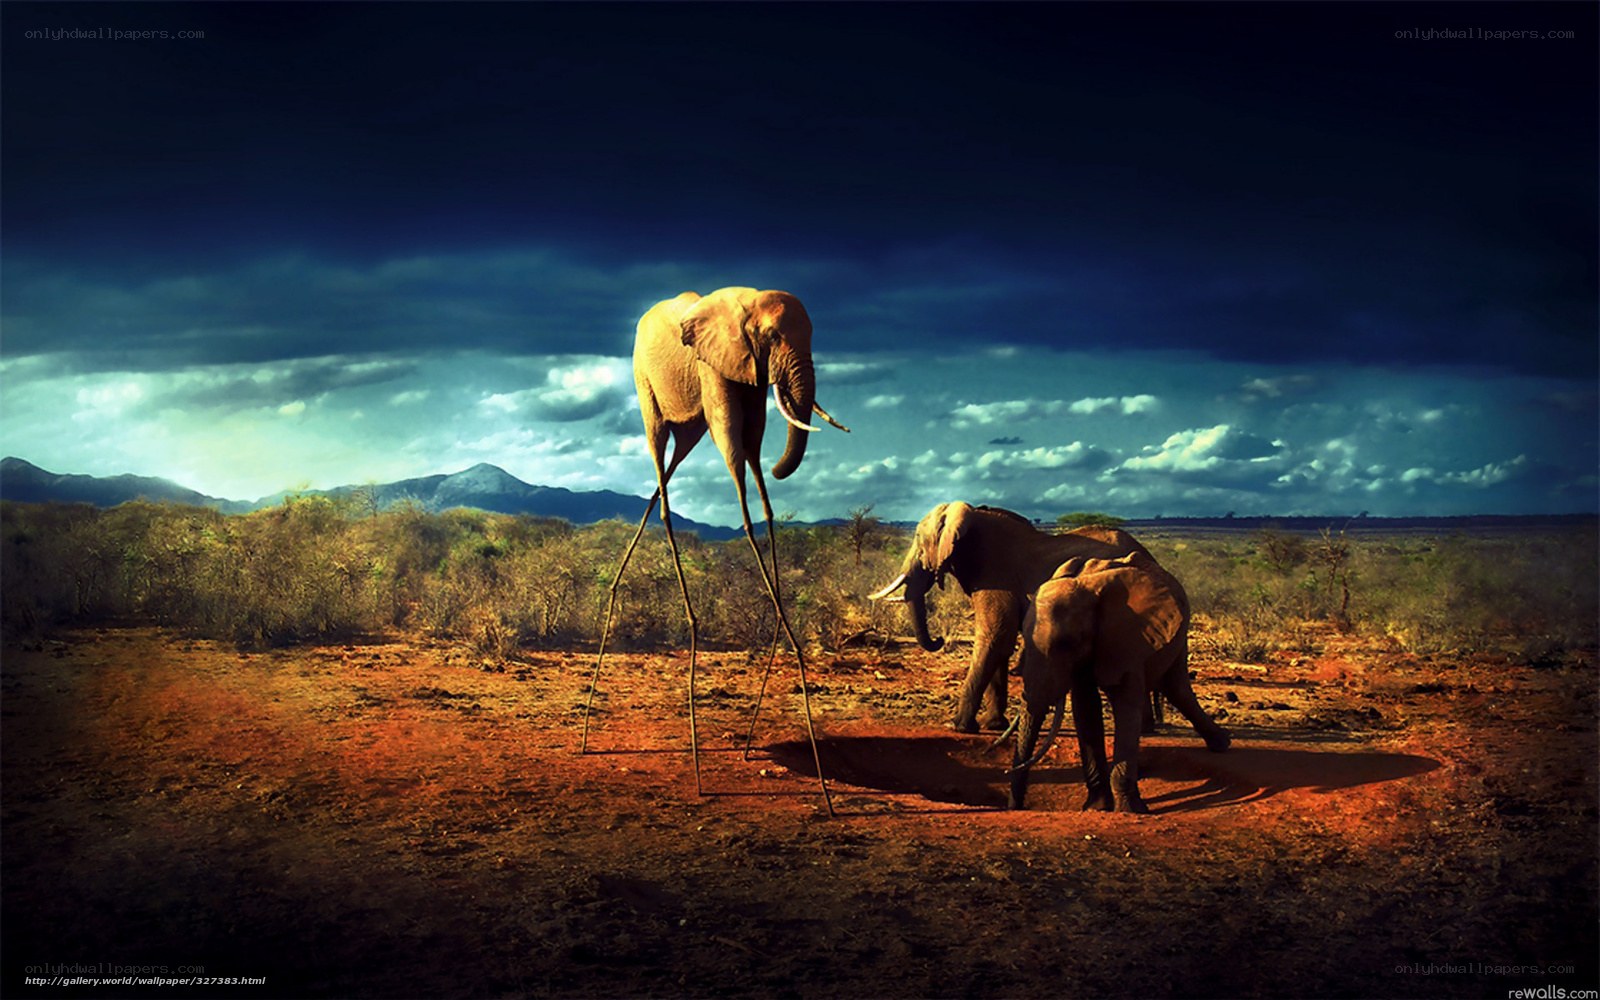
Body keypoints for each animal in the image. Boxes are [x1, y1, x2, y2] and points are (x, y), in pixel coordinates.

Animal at [582, 287, 848, 812]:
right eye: (771, 335)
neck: (746, 300)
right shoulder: (716, 366)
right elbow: (738, 466)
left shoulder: (748, 375)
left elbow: (757, 469)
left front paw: (785, 633)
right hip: (644, 382)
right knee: (661, 465)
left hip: (685, 421)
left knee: (665, 476)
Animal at [869, 502, 1157, 733]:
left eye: (918, 538)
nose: (939, 639)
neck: (971, 517)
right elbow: (1000, 642)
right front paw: (993, 725)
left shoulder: (996, 576)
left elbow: (995, 636)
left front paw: (958, 726)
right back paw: (1145, 729)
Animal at [1007, 555, 1232, 813]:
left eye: (1066, 643)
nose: (1017, 807)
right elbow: (1086, 708)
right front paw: (1096, 807)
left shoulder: (1127, 638)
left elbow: (1126, 704)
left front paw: (1130, 810)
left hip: (1179, 634)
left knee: (1176, 688)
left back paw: (1221, 744)